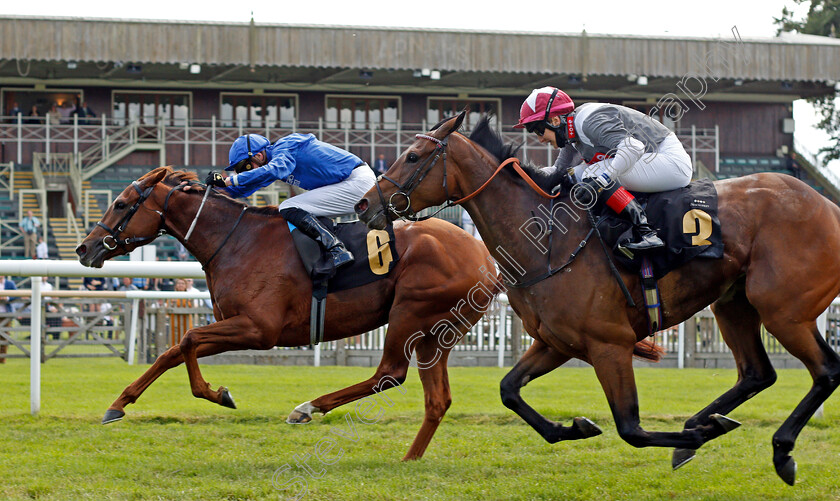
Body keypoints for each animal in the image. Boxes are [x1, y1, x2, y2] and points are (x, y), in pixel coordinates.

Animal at [75, 166, 496, 458]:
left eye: (120, 204)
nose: (84, 248)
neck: (235, 241)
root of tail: (486, 257)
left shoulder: (259, 329)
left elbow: (190, 339)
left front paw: (218, 394)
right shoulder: (236, 324)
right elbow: (173, 351)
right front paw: (117, 405)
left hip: (410, 312)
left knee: (389, 373)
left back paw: (307, 408)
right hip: (436, 333)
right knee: (436, 398)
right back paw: (410, 456)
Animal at [356, 111, 840, 482]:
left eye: (413, 155)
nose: (364, 205)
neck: (548, 241)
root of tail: (827, 204)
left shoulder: (611, 345)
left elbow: (631, 428)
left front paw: (698, 436)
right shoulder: (557, 342)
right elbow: (509, 390)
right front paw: (576, 427)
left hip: (783, 309)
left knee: (826, 370)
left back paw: (778, 449)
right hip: (734, 303)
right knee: (758, 373)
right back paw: (704, 424)